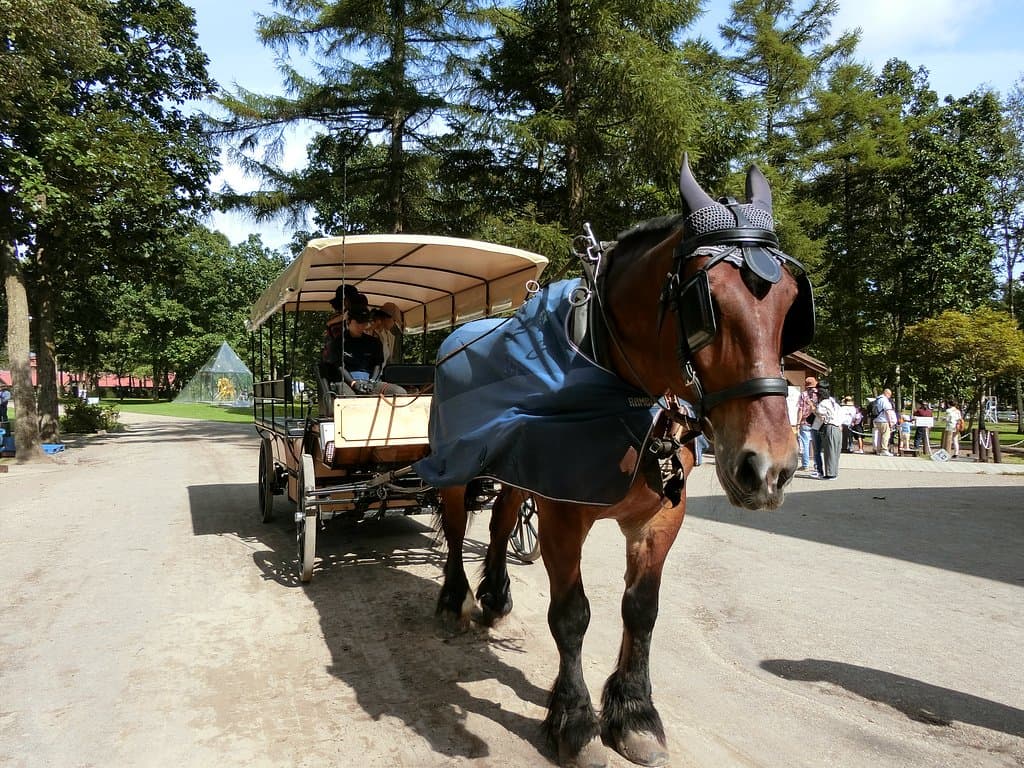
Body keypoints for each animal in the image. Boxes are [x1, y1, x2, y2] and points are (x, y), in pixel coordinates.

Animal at [424, 156, 814, 767]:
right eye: (706, 303)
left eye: (790, 302)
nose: (768, 469)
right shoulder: (562, 512)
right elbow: (572, 615)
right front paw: (575, 721)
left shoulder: (659, 516)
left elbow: (642, 610)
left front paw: (634, 713)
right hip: (457, 464)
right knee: (461, 520)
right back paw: (454, 597)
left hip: (520, 467)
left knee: (502, 521)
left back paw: (494, 594)